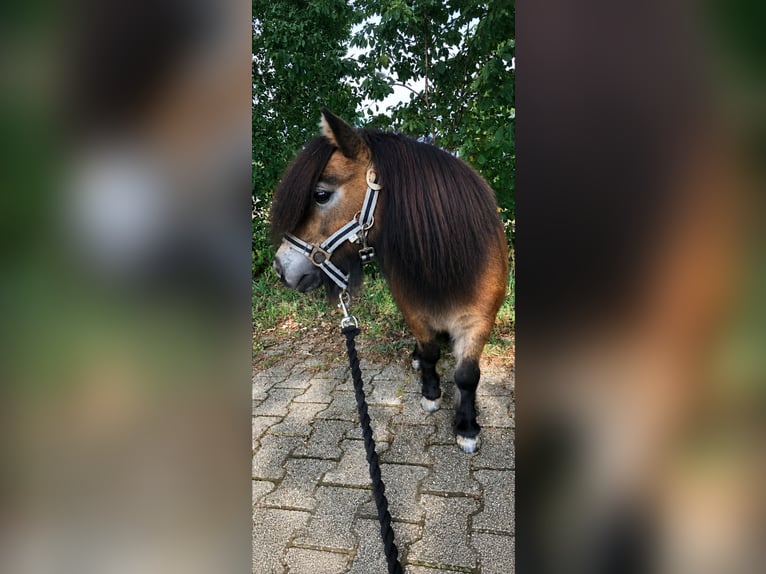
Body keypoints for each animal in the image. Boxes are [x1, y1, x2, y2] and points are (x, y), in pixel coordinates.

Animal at [270, 109, 509, 453]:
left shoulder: (480, 319)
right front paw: (431, 392)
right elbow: (431, 353)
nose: (279, 267)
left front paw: (466, 427)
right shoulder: (414, 312)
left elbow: (466, 376)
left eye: (320, 195)